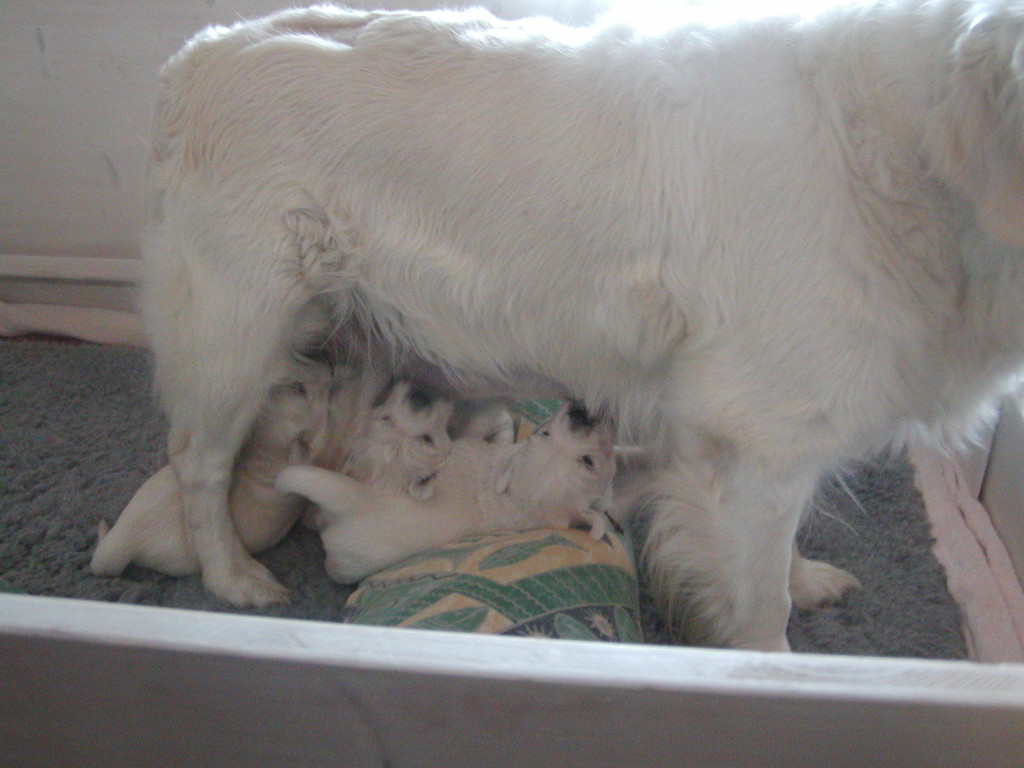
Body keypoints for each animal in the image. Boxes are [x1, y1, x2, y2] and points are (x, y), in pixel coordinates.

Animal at [277, 402, 616, 582]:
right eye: (545, 433)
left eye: (588, 461)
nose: (580, 412)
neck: (516, 497)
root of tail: (360, 499)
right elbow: (504, 434)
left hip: (349, 557)